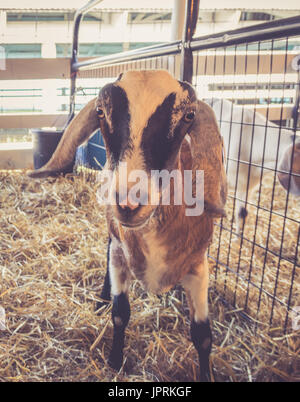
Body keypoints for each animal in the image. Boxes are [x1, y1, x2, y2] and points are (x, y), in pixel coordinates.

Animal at [28, 70, 227, 382]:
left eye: (189, 115)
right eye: (100, 111)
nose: (129, 202)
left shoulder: (198, 265)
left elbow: (203, 335)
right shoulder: (121, 252)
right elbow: (120, 313)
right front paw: (114, 360)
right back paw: (101, 298)